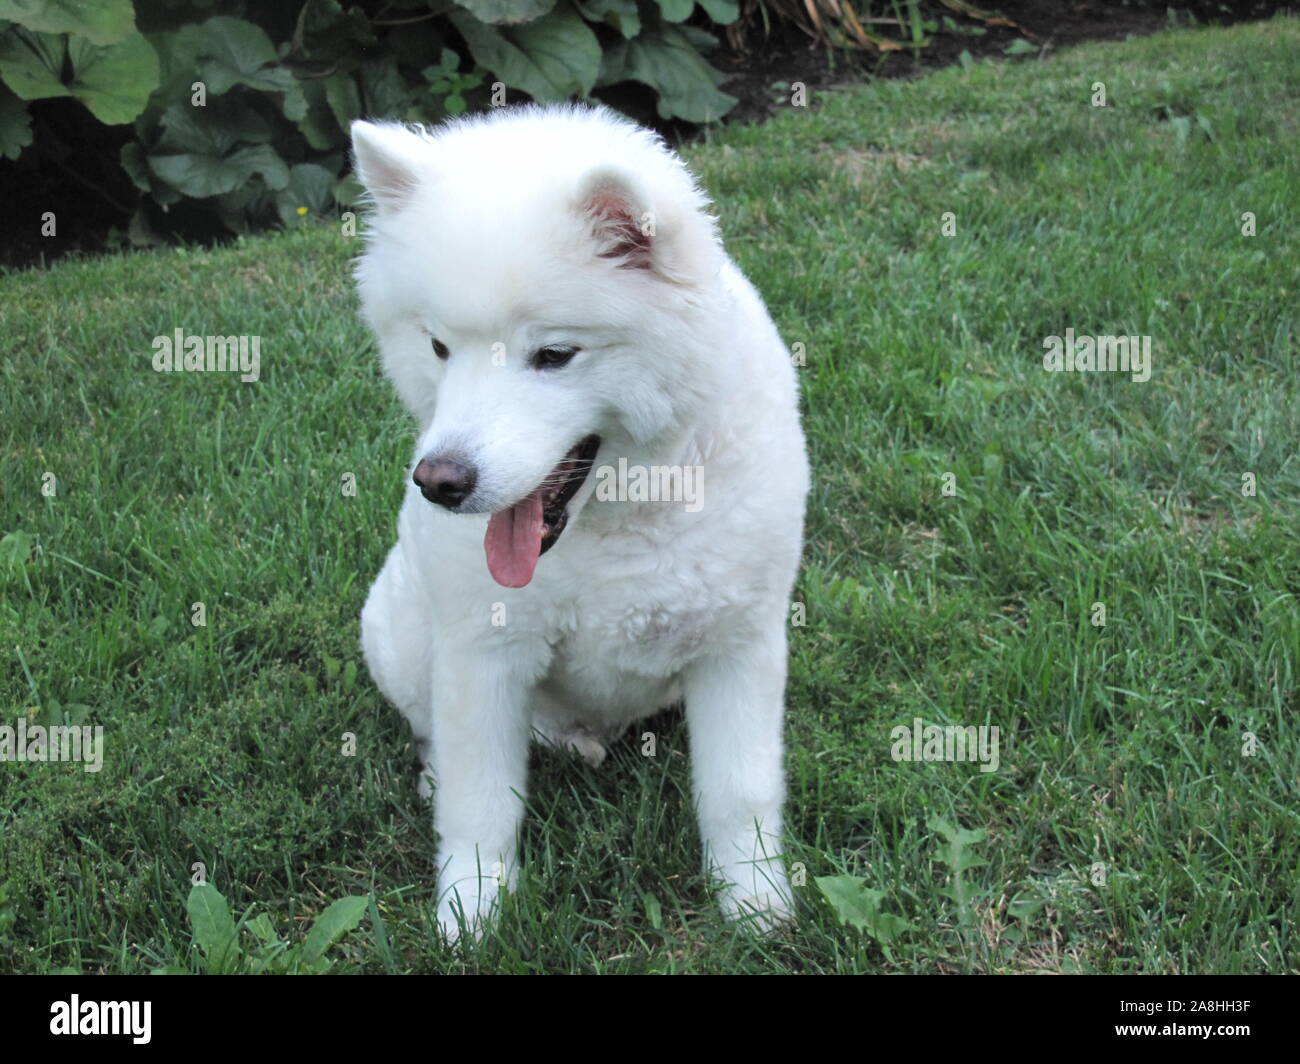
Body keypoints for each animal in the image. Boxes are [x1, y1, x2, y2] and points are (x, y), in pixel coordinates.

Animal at [351, 106, 806, 936]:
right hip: (395, 634)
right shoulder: (485, 652)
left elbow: (740, 792)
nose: (441, 481)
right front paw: (471, 916)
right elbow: (480, 806)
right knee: (434, 734)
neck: (615, 519)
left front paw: (756, 907)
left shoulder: (740, 644)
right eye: (438, 346)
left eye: (555, 354)